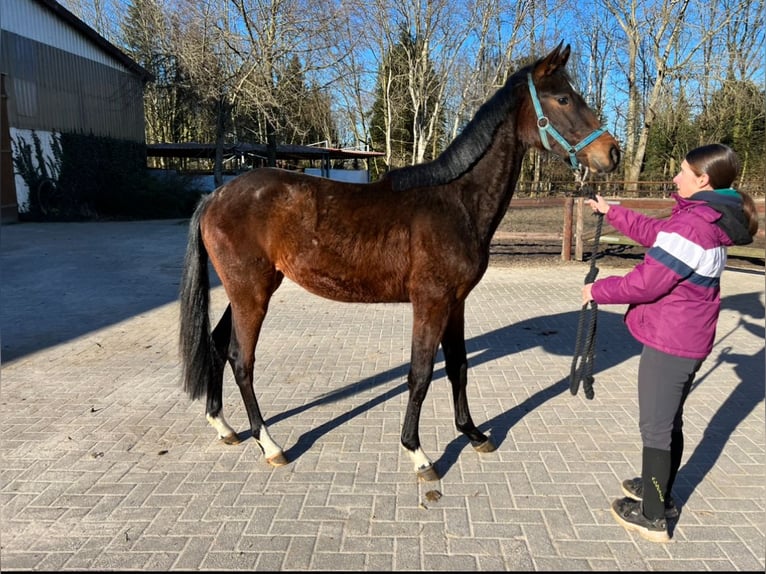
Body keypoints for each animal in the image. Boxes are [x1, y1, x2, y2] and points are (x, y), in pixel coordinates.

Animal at [180, 42, 624, 482]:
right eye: (563, 98)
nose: (612, 153)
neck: (455, 202)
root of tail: (215, 196)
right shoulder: (431, 302)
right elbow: (421, 373)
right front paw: (418, 453)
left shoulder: (455, 303)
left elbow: (459, 365)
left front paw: (473, 433)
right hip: (251, 293)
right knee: (241, 359)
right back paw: (270, 444)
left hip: (250, 290)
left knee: (218, 344)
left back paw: (224, 426)